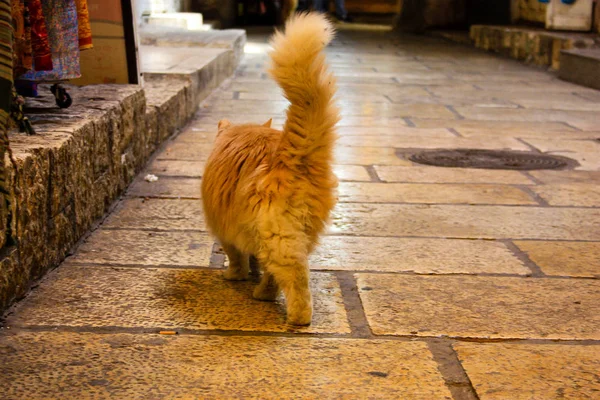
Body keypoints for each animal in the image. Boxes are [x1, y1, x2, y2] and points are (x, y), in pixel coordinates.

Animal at [202, 13, 340, 324]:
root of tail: (293, 156)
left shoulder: (225, 231)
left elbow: (237, 258)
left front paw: (235, 276)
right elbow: (253, 259)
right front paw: (250, 271)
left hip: (279, 239)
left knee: (294, 280)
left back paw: (294, 315)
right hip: (300, 235)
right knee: (275, 274)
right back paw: (263, 293)